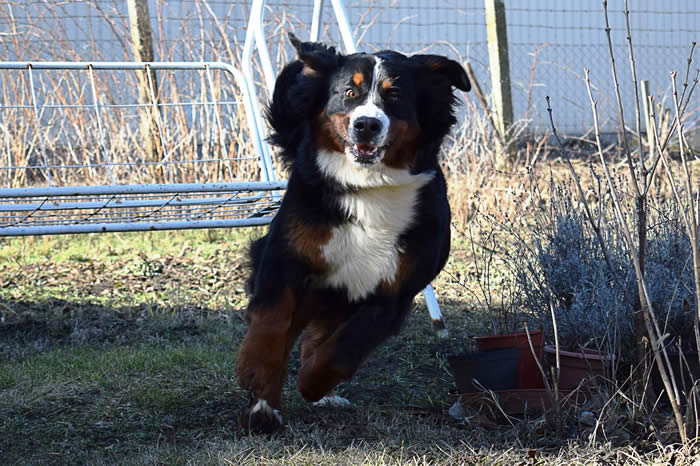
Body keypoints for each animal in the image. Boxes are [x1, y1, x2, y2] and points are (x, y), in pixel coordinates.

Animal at [235, 32, 470, 434]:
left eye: (394, 96)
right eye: (349, 92)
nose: (367, 126)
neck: (368, 188)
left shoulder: (395, 290)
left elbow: (343, 350)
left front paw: (312, 383)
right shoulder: (285, 256)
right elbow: (270, 322)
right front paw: (255, 373)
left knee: (317, 339)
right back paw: (265, 407)